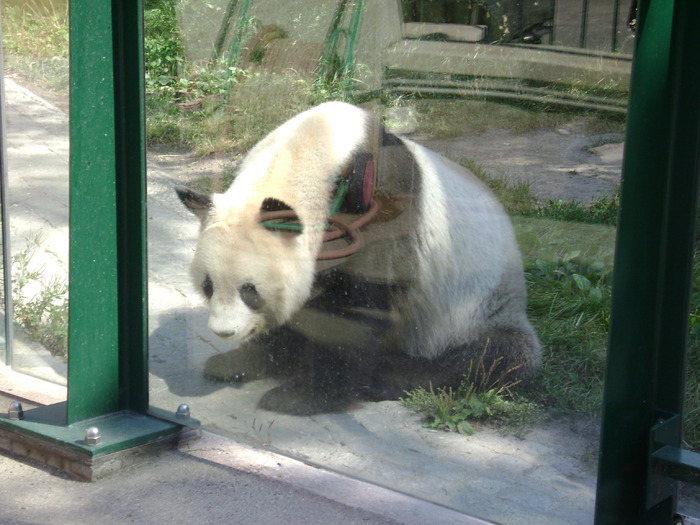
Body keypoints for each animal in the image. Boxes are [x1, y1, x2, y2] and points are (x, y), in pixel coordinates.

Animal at [176, 101, 540, 414]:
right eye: (208, 285)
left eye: (249, 290)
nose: (225, 332)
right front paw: (241, 362)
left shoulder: (379, 212)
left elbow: (354, 314)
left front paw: (299, 395)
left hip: (479, 309)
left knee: (490, 358)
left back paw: (389, 374)